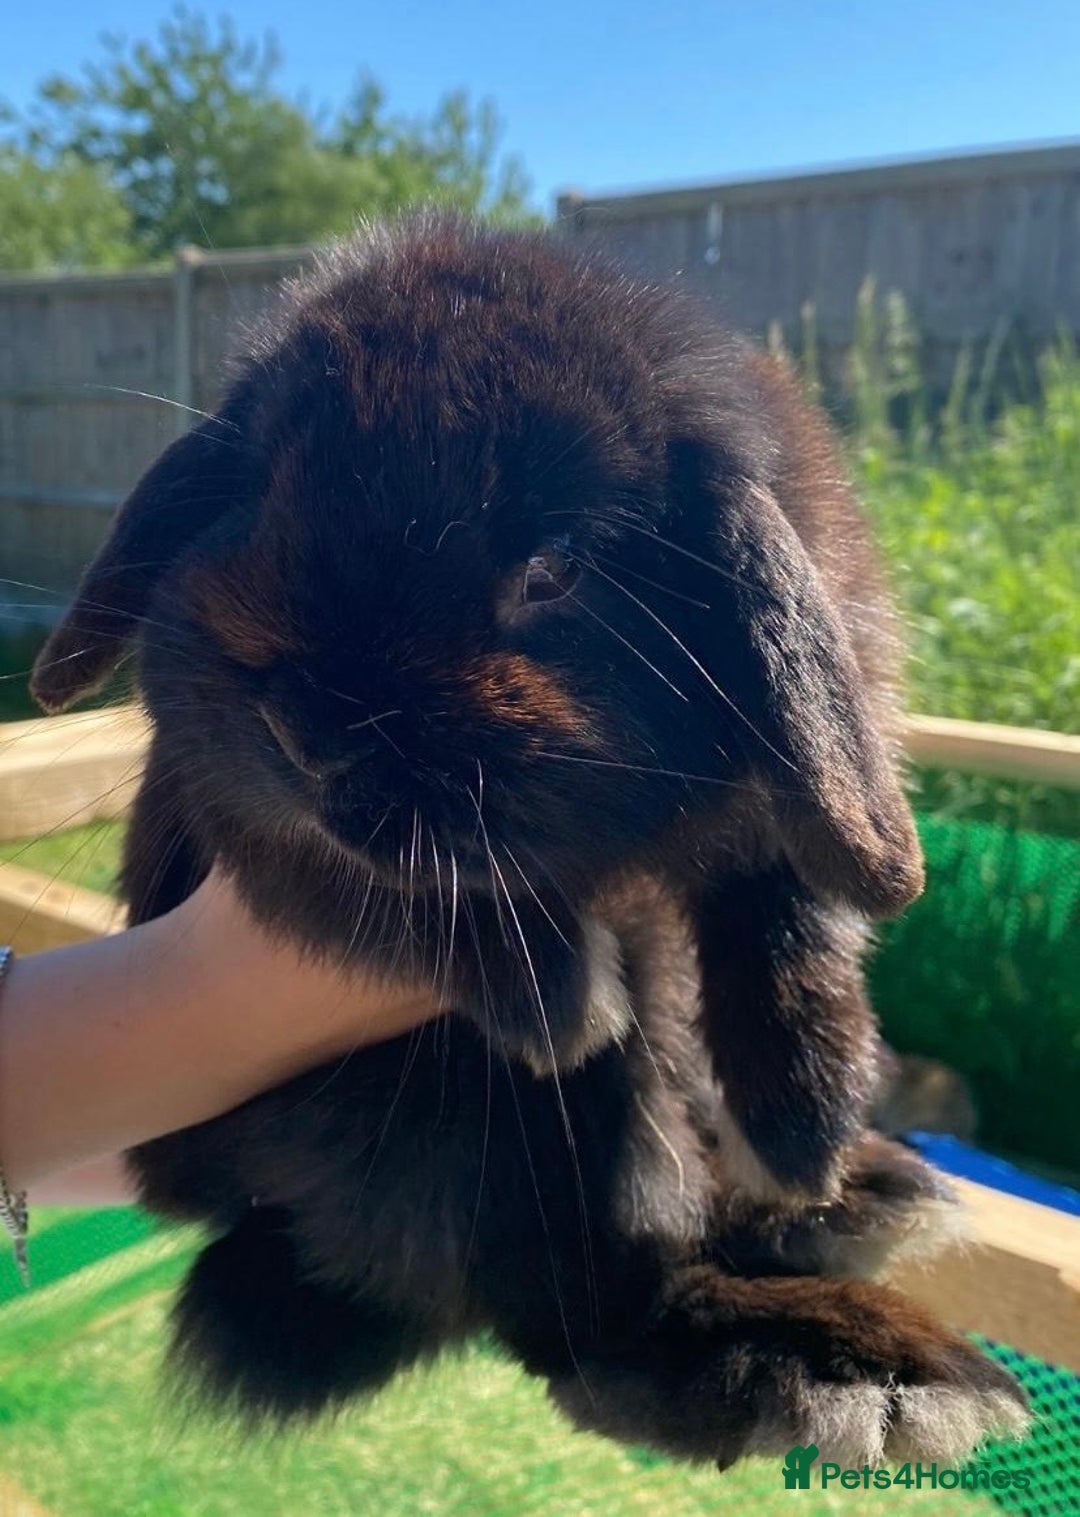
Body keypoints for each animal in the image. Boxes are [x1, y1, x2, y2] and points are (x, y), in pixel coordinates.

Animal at [30, 215, 1026, 1468]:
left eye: (554, 565)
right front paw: (557, 992)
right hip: (506, 1142)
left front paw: (807, 1116)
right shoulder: (225, 802)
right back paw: (851, 1365)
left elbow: (792, 902)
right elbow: (361, 884)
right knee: (589, 1321)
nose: (306, 733)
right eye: (258, 494)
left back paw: (851, 1202)